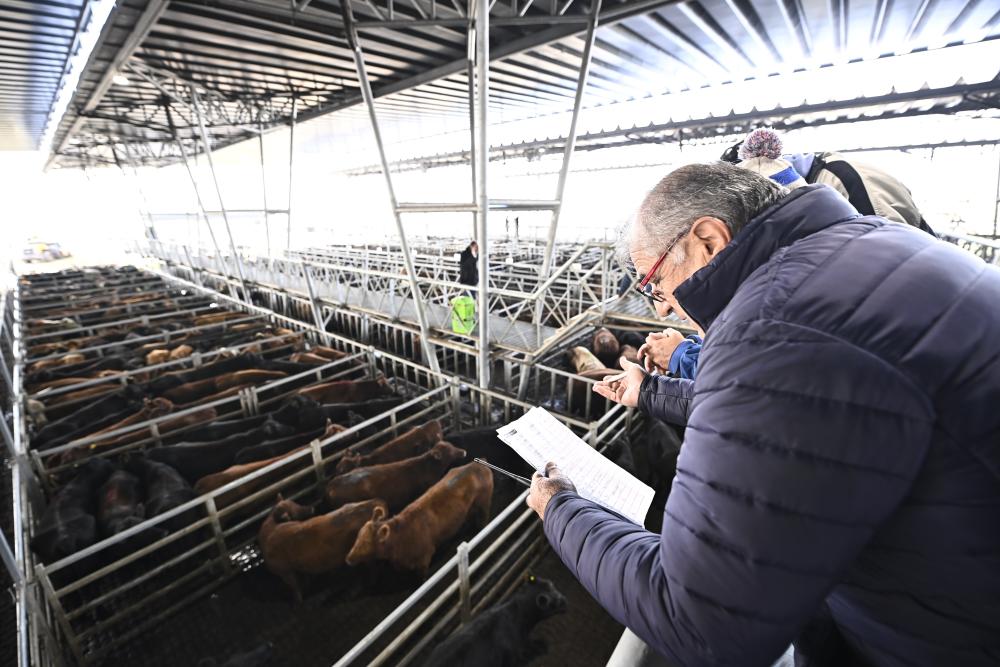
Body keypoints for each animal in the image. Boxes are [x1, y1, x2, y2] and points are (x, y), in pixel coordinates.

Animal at [258, 496, 386, 600]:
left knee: (371, 568)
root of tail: (375, 502)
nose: (310, 508)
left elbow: (295, 587)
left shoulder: (284, 571)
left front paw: (298, 603)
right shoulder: (288, 569)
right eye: (295, 511)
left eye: (295, 503)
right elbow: (301, 581)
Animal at [346, 462, 494, 576]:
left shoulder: (424, 559)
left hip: (484, 504)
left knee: (484, 517)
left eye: (366, 542)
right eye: (358, 537)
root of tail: (476, 465)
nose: (348, 558)